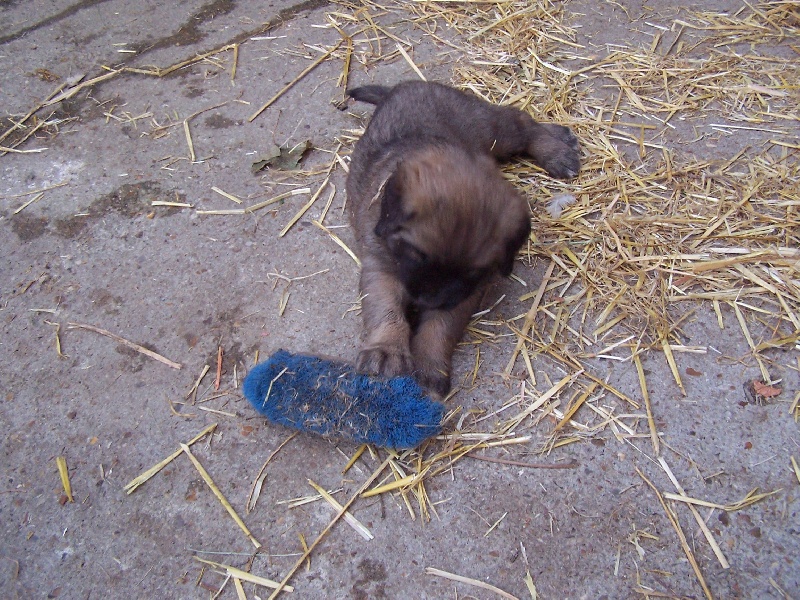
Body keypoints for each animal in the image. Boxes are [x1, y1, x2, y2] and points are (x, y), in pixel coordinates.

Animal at [345, 81, 579, 397]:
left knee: (520, 121)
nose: (425, 301)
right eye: (416, 255)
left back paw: (556, 147)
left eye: (472, 271)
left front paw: (429, 365)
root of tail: (407, 85)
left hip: (491, 131)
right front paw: (386, 350)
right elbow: (386, 309)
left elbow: (441, 326)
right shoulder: (381, 266)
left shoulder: (467, 290)